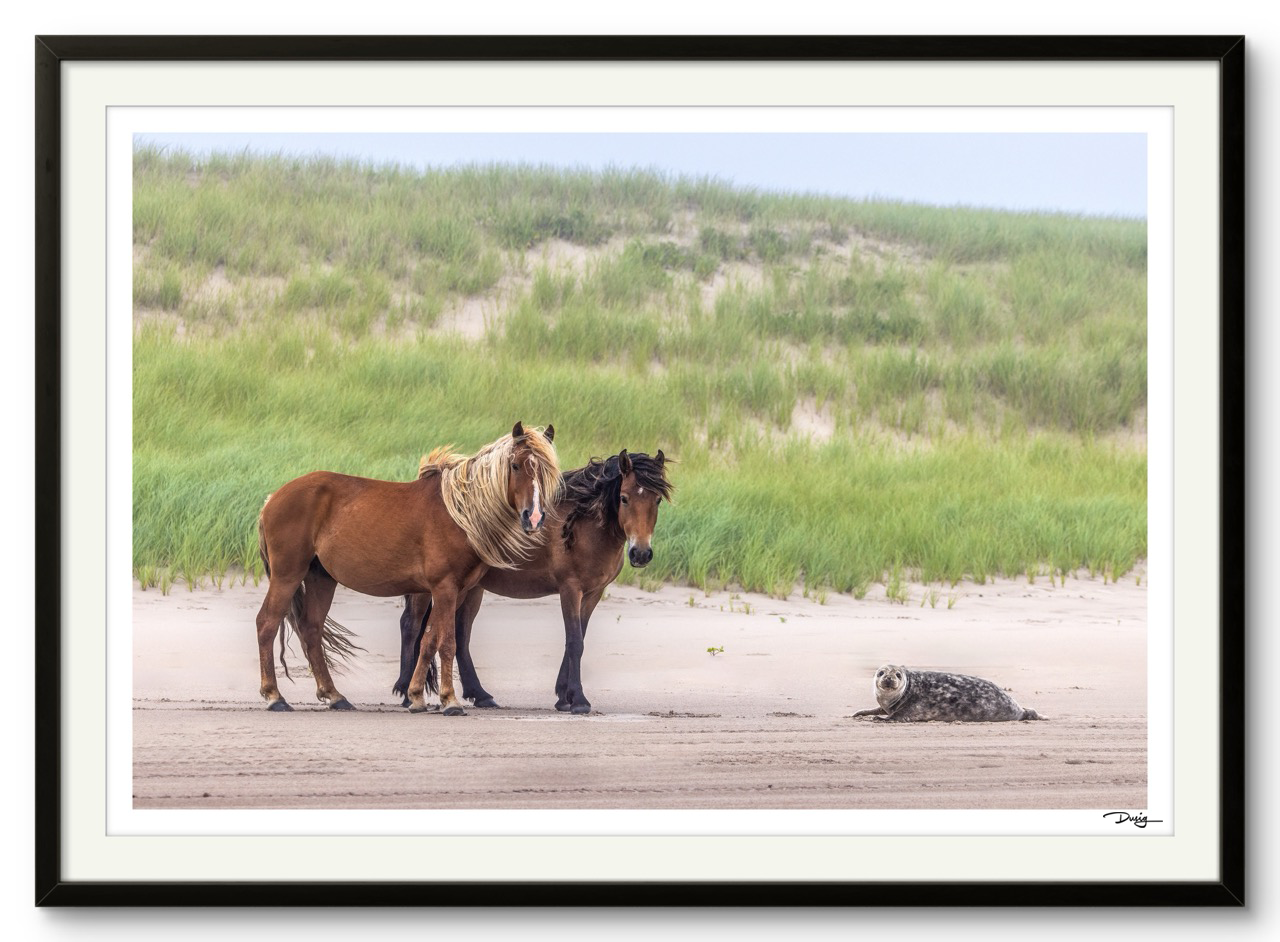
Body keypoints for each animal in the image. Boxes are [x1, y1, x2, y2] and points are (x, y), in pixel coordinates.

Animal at [254, 422, 560, 711]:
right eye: (515, 465)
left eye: (547, 471)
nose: (533, 517)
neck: (460, 514)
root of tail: (272, 499)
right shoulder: (444, 588)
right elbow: (447, 642)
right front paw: (450, 700)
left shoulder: (455, 591)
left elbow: (429, 640)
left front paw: (416, 696)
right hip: (288, 575)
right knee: (267, 623)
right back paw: (274, 696)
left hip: (322, 578)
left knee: (311, 630)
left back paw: (334, 695)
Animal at [386, 447, 670, 711]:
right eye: (624, 498)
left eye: (657, 500)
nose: (641, 553)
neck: (583, 526)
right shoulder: (570, 589)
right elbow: (574, 642)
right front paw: (578, 699)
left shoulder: (592, 594)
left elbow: (578, 639)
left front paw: (563, 696)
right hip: (432, 589)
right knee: (411, 625)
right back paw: (407, 693)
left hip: (471, 588)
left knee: (460, 635)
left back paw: (480, 694)